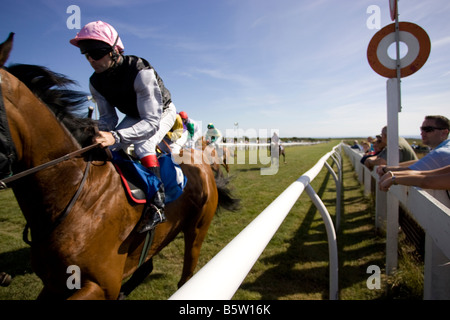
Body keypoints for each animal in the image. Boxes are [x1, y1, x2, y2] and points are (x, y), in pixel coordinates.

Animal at [0, 35, 241, 300]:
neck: (74, 195)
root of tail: (205, 167)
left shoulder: (100, 285)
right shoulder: (55, 283)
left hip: (197, 229)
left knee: (186, 274)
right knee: (146, 266)